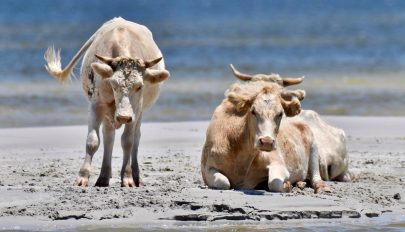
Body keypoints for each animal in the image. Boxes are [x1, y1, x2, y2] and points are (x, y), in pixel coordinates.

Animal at [43, 16, 169, 187]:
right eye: (113, 84)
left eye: (140, 86)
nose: (123, 117)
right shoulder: (96, 105)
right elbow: (92, 141)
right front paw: (82, 177)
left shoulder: (135, 110)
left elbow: (128, 141)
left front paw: (127, 178)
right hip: (108, 113)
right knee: (109, 136)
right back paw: (103, 176)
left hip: (139, 113)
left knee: (135, 137)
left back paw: (136, 176)